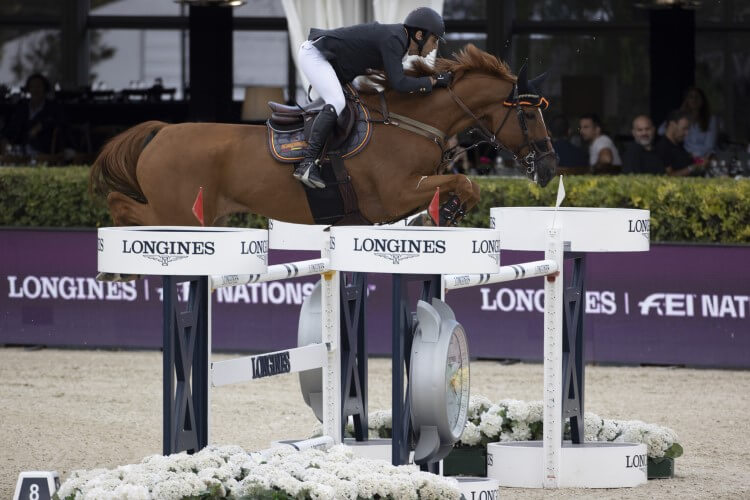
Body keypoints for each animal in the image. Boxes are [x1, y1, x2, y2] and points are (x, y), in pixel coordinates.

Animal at [89, 45, 560, 227]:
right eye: (529, 116)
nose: (550, 168)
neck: (409, 121)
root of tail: (159, 134)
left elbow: (464, 185)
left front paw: (448, 211)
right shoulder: (393, 194)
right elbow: (462, 181)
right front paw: (450, 207)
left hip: (208, 216)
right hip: (178, 214)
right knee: (121, 206)